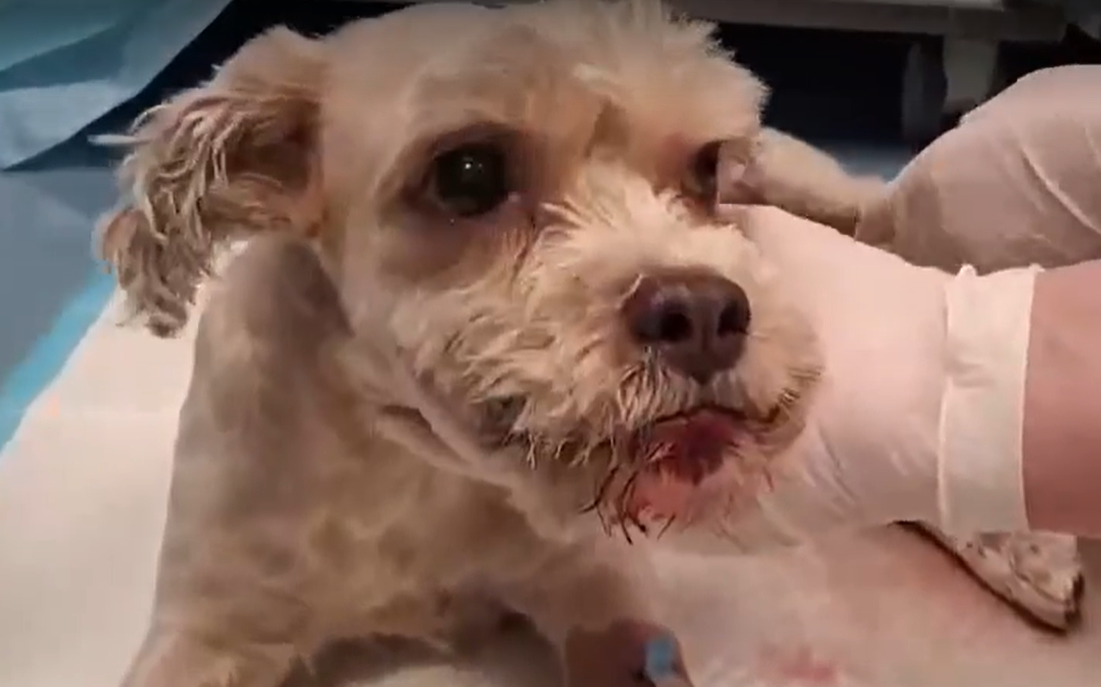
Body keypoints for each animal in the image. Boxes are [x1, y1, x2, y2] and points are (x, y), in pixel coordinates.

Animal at [96, 2, 1081, 686]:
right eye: (466, 172)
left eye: (705, 167)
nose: (704, 311)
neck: (401, 476)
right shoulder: (209, 621)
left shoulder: (600, 598)